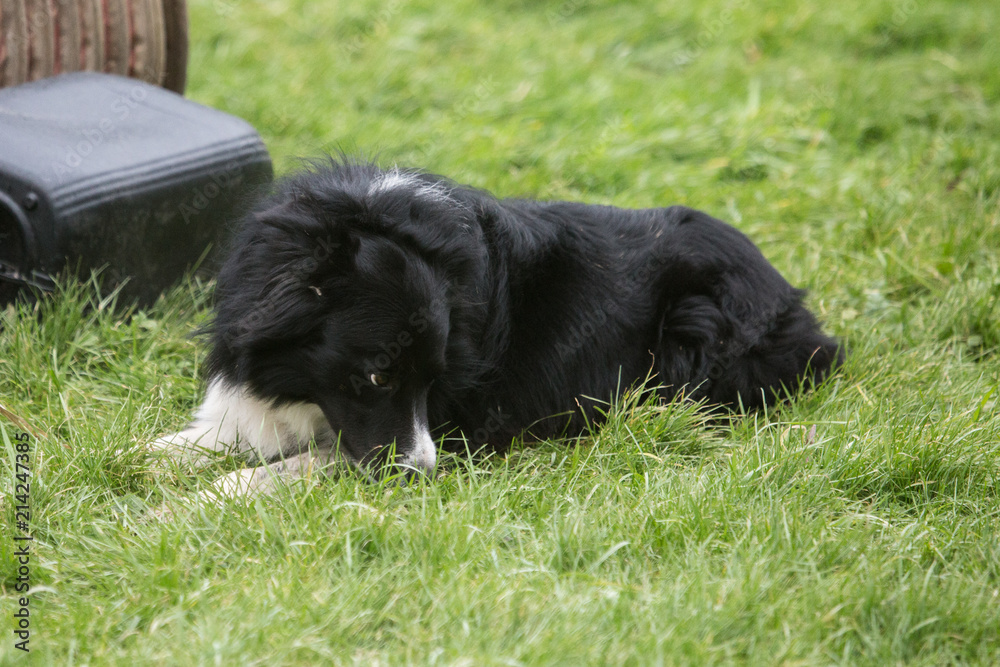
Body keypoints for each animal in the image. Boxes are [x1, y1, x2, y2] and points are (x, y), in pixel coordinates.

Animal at [152, 159, 840, 496]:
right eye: (377, 375)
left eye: (434, 379)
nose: (421, 477)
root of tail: (797, 305)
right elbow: (211, 434)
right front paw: (151, 457)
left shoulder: (456, 420)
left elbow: (312, 458)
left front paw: (210, 496)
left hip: (699, 324)